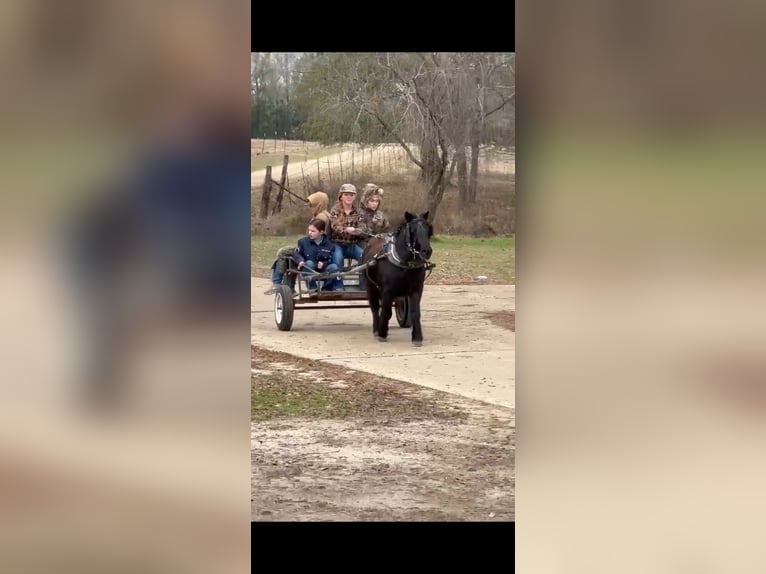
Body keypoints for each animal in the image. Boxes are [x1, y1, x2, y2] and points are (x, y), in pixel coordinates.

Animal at [361, 211, 433, 346]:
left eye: (428, 229)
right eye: (413, 230)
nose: (426, 251)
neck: (405, 263)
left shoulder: (416, 290)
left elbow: (415, 312)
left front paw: (417, 337)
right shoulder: (388, 291)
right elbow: (386, 311)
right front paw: (382, 333)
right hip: (370, 286)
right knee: (375, 307)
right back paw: (376, 329)